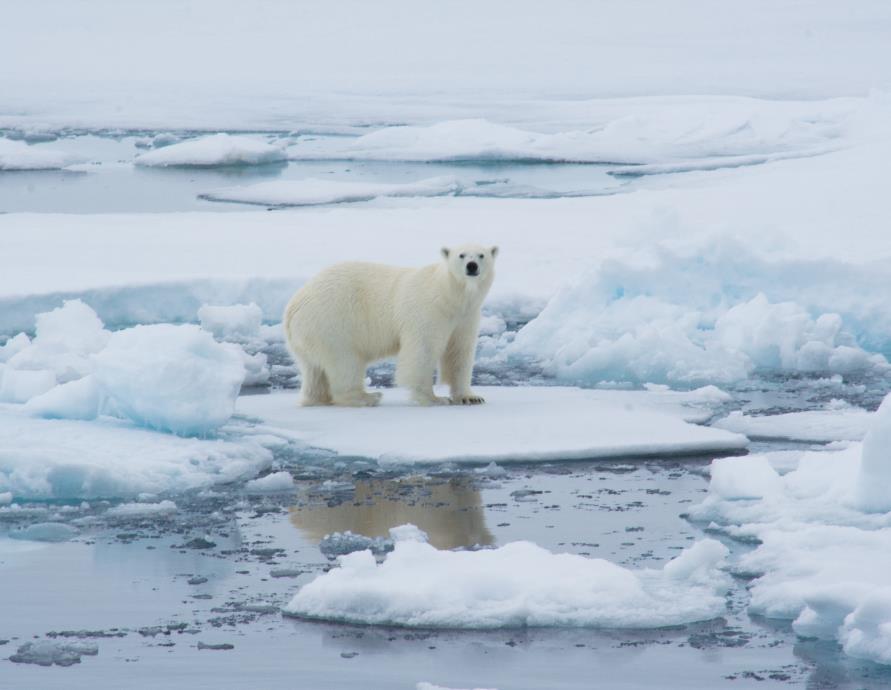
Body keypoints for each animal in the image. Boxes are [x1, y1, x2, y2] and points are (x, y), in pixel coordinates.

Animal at [284, 243, 498, 404]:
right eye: (461, 255)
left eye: (482, 255)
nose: (472, 266)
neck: (449, 296)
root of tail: (292, 307)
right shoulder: (428, 311)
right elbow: (422, 350)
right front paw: (434, 398)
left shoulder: (466, 317)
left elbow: (460, 352)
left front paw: (470, 397)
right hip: (333, 321)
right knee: (345, 361)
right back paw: (367, 397)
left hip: (310, 335)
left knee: (313, 370)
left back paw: (316, 398)